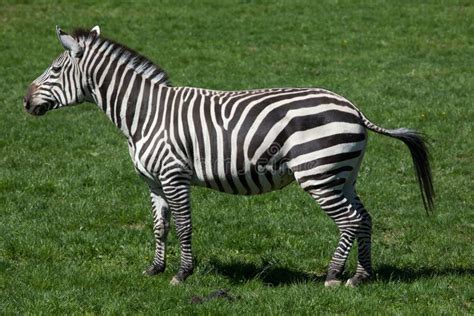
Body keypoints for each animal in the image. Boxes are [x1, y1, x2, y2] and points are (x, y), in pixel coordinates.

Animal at [25, 25, 434, 286]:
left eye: (55, 69)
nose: (25, 102)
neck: (144, 113)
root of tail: (353, 108)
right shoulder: (153, 181)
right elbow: (160, 226)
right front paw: (155, 270)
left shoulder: (174, 175)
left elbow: (184, 225)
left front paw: (181, 274)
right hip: (342, 174)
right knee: (364, 218)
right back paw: (361, 276)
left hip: (318, 175)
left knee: (349, 221)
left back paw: (334, 276)